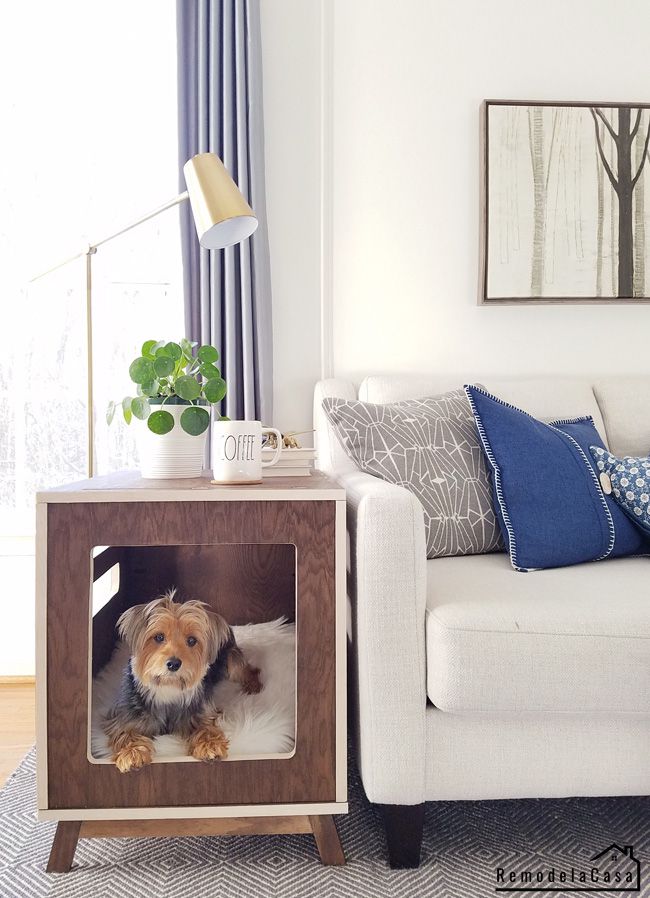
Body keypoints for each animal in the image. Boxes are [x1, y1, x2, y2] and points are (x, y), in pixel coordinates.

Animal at [104, 588, 260, 768]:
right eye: (159, 637)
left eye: (191, 640)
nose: (173, 663)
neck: (167, 687)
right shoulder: (126, 715)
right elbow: (125, 731)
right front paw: (132, 752)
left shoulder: (200, 711)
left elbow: (205, 726)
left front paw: (210, 745)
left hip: (230, 658)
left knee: (247, 669)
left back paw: (252, 685)